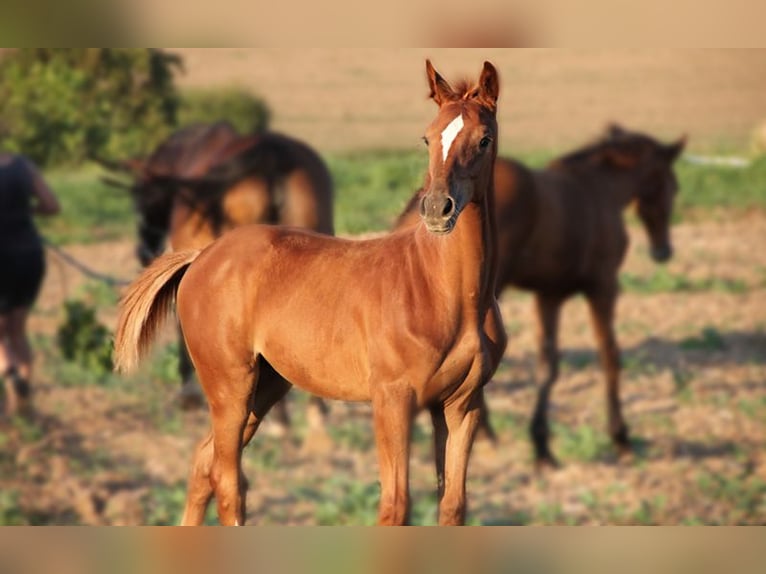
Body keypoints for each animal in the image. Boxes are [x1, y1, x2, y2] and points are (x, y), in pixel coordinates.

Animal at [114, 59, 508, 528]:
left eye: (484, 139)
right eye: (428, 137)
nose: (436, 209)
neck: (442, 290)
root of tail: (203, 256)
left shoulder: (461, 405)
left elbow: (453, 506)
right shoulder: (393, 400)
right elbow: (396, 506)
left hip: (265, 386)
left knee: (203, 463)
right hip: (230, 386)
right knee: (228, 482)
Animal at [400, 124, 688, 470]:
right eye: (671, 185)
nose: (663, 251)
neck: (599, 190)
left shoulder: (549, 295)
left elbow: (547, 365)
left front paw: (541, 446)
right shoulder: (603, 288)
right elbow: (609, 355)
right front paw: (621, 438)